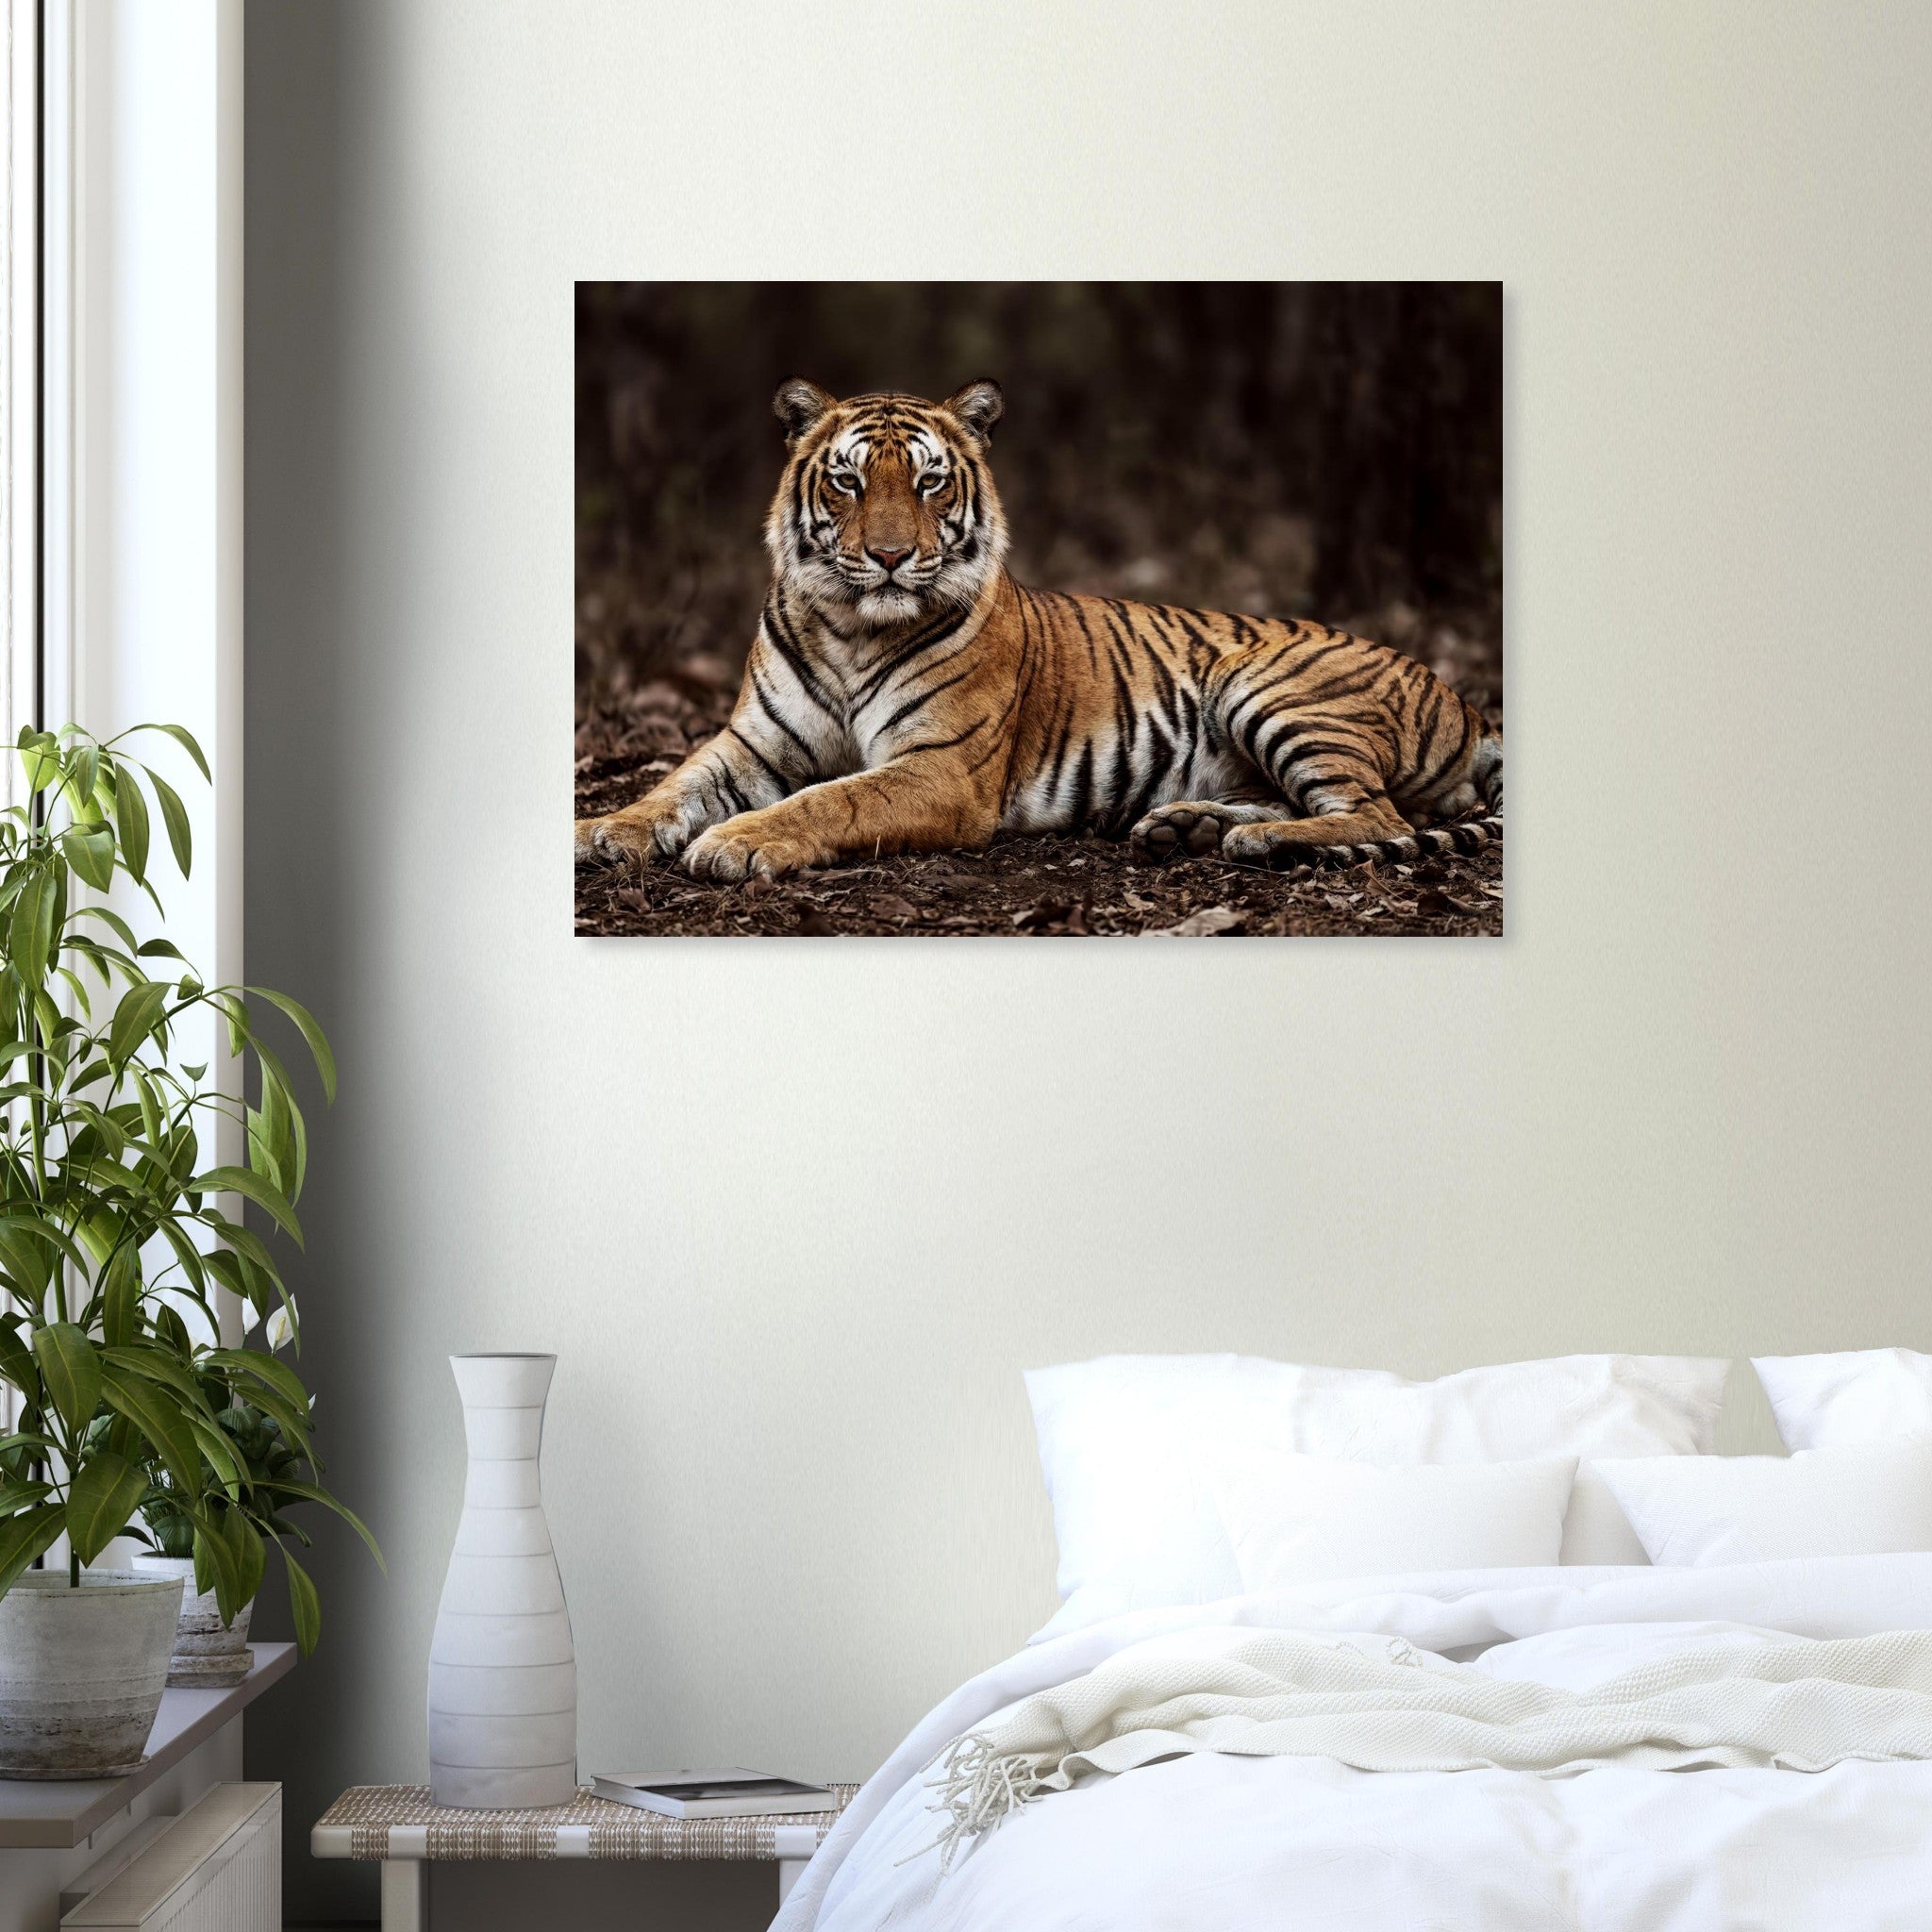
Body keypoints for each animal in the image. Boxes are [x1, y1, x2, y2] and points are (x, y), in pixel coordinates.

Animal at [574, 378, 1502, 884]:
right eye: (847, 481)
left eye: (929, 483)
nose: (888, 556)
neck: (848, 628)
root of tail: (1464, 699)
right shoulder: (752, 743)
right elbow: (673, 786)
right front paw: (602, 831)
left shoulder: (939, 768)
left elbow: (830, 799)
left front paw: (737, 842)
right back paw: (1191, 827)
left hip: (1268, 682)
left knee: (1378, 818)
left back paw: (1257, 840)